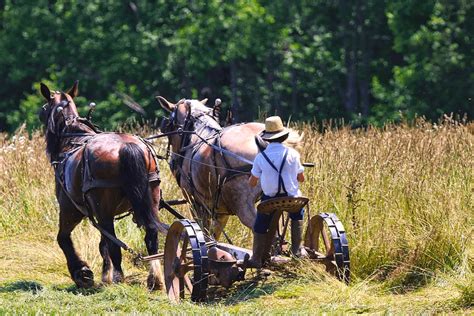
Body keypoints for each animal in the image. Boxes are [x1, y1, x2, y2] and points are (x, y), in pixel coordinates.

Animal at [39, 82, 165, 290]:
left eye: (43, 109)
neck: (72, 138)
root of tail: (126, 147)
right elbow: (103, 243)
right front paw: (104, 274)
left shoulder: (70, 208)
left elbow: (63, 238)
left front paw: (82, 272)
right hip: (150, 198)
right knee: (151, 236)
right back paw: (155, 279)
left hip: (101, 209)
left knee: (115, 245)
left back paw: (119, 279)